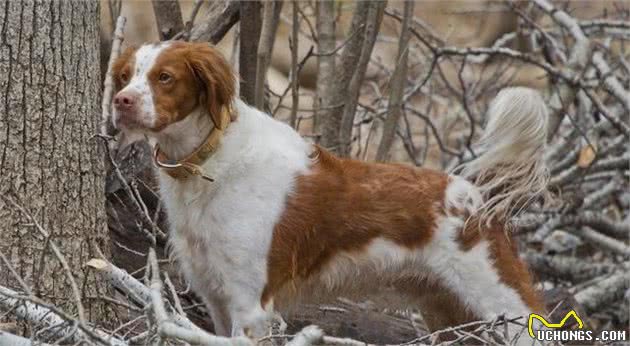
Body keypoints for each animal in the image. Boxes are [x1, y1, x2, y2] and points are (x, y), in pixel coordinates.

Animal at [113, 42, 552, 342]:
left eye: (165, 77)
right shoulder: (217, 298)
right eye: (125, 75)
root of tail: (477, 198)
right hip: (449, 314)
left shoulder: (250, 305)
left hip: (503, 305)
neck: (208, 160)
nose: (121, 101)